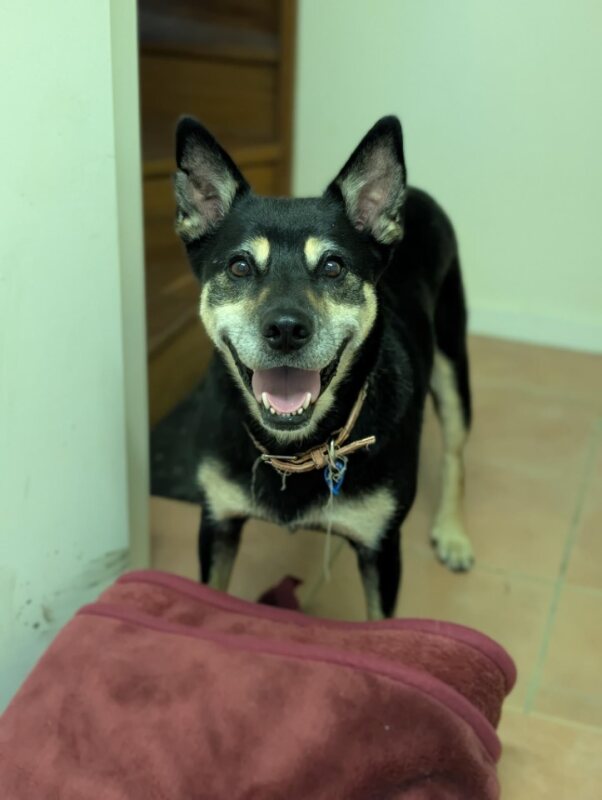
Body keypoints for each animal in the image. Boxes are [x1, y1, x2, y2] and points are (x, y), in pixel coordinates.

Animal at [173, 115, 474, 619]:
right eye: (239, 267)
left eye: (333, 267)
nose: (286, 329)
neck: (296, 449)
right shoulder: (217, 524)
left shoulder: (381, 549)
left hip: (454, 360)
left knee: (455, 452)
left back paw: (452, 533)